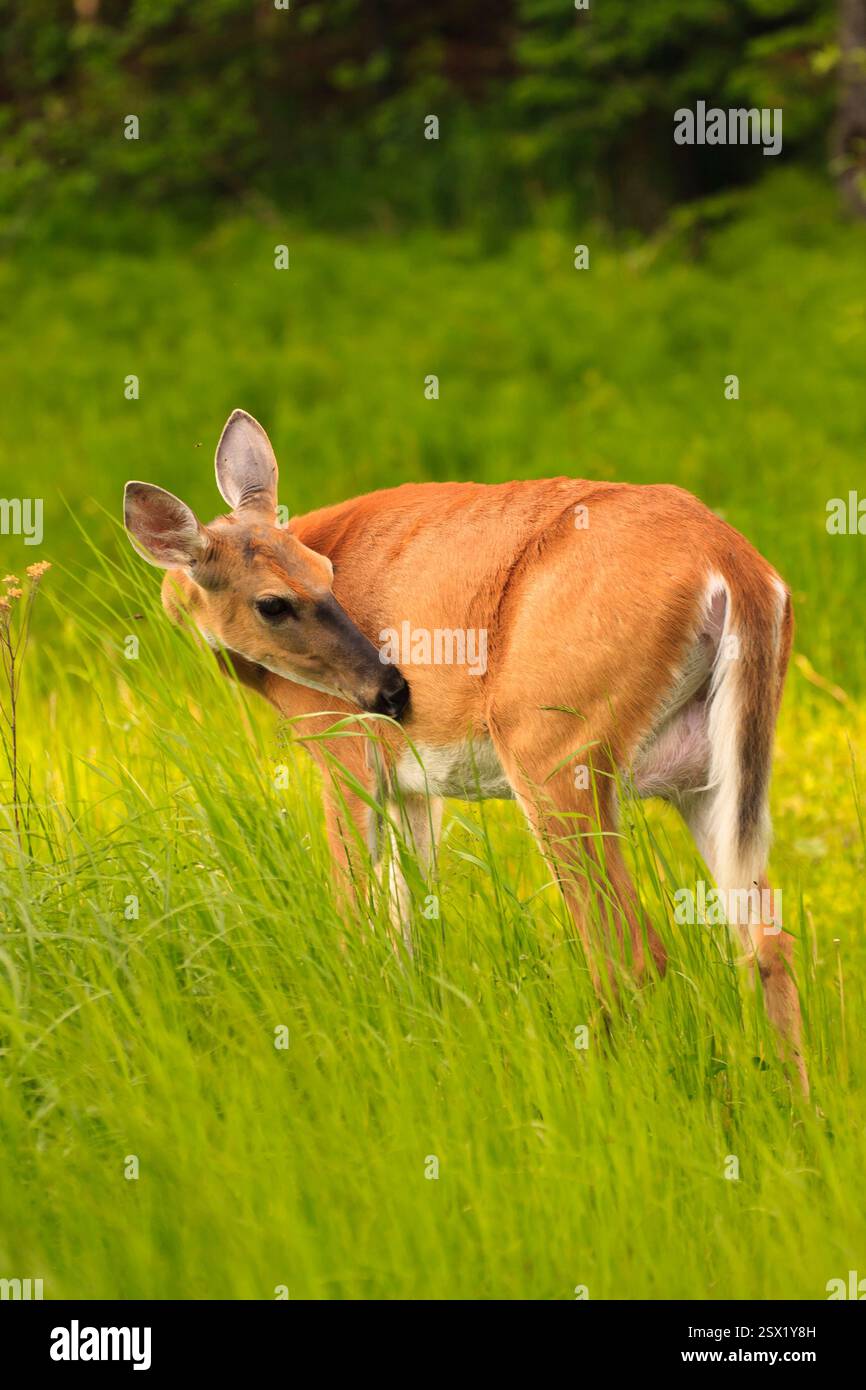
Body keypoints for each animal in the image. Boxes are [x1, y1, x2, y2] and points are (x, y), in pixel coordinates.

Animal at [124, 409, 807, 1094]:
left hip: (552, 745)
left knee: (631, 950)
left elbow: (354, 911)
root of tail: (735, 566)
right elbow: (410, 921)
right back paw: (797, 1106)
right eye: (275, 600)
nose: (393, 690)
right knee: (765, 941)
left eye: (325, 573)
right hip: (704, 773)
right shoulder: (412, 785)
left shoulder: (343, 746)